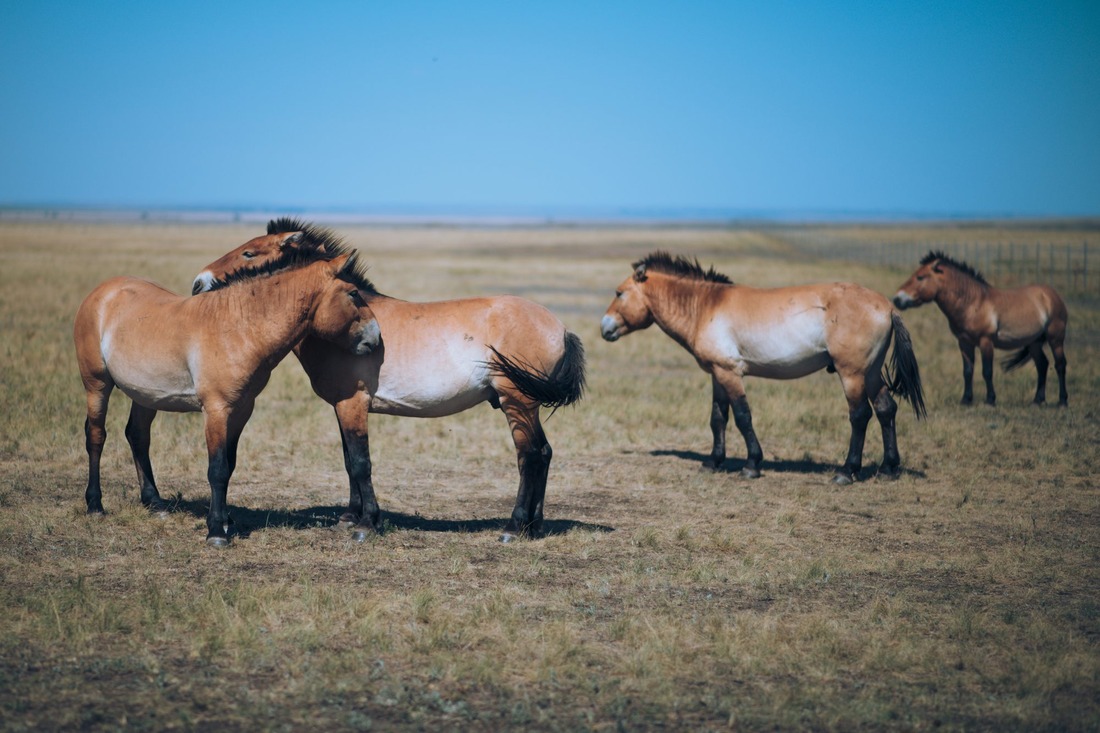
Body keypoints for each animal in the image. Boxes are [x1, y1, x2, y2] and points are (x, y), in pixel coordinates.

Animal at [598, 253, 924, 484]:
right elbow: (718, 418)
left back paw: (846, 472)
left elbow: (743, 417)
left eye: (619, 293)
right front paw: (713, 462)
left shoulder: (730, 373)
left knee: (860, 415)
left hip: (852, 374)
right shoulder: (718, 374)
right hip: (871, 373)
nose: (604, 328)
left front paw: (752, 465)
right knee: (885, 409)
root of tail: (887, 307)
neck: (705, 306)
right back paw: (888, 469)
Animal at [893, 248, 1064, 402]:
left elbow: (987, 371)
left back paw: (1062, 401)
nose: (897, 299)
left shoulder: (985, 341)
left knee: (1060, 364)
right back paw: (1038, 400)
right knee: (1042, 365)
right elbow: (968, 371)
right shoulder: (964, 343)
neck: (974, 303)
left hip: (1055, 339)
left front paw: (990, 399)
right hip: (1034, 342)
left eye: (920, 277)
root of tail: (1052, 294)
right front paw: (966, 400)